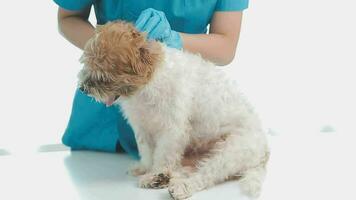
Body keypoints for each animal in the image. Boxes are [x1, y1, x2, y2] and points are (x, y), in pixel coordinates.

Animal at [79, 21, 270, 199]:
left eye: (103, 75)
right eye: (87, 63)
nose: (83, 88)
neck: (147, 85)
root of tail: (264, 151)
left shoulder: (172, 130)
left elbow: (163, 156)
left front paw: (155, 171)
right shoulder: (142, 128)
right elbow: (146, 152)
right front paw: (145, 168)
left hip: (230, 152)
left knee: (204, 175)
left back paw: (175, 184)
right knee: (182, 169)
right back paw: (163, 178)